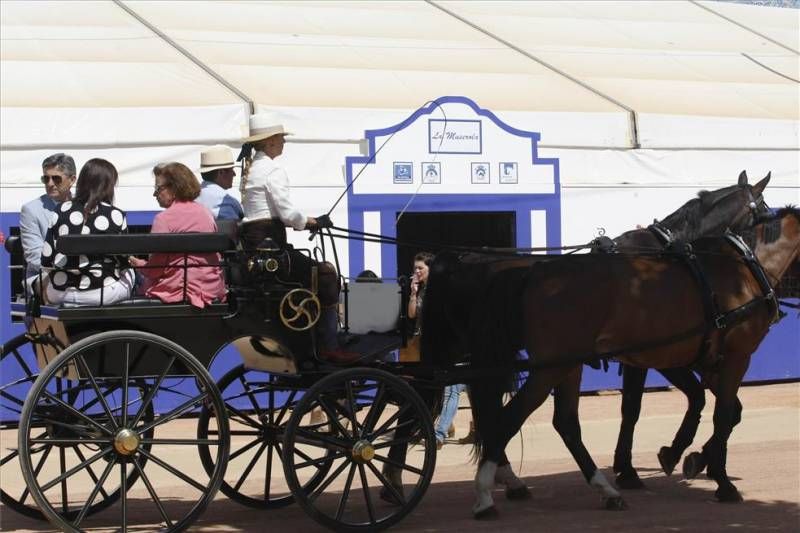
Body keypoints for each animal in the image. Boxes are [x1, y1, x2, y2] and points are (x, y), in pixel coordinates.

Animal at [422, 207, 796, 516]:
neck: (735, 268)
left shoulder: (701, 359)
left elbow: (723, 410)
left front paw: (686, 457)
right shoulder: (724, 358)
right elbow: (711, 412)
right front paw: (716, 477)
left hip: (561, 365)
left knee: (561, 423)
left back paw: (600, 490)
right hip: (547, 367)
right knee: (507, 418)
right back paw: (487, 493)